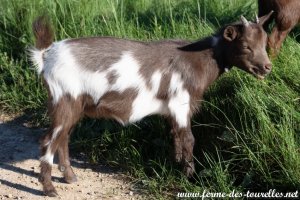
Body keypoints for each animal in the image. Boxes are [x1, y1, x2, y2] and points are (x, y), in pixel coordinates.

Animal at [30, 12, 274, 197]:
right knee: (48, 140)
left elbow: (175, 137)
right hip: (64, 99)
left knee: (63, 137)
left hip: (74, 105)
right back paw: (49, 188)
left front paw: (177, 166)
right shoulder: (180, 103)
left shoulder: (172, 110)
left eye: (264, 43)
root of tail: (46, 55)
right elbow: (188, 139)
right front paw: (190, 177)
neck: (197, 59)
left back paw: (70, 177)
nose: (267, 67)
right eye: (246, 46)